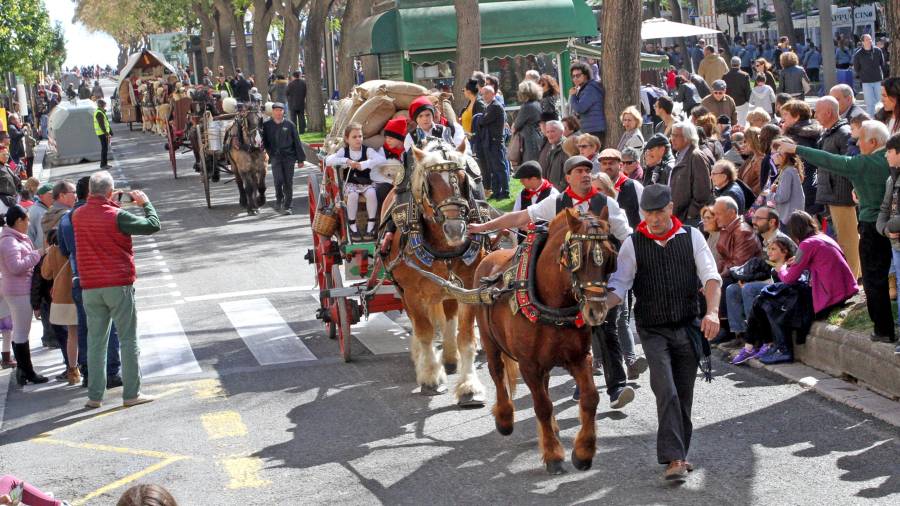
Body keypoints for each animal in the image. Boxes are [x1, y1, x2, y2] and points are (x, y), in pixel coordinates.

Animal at [380, 138, 492, 408]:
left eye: (463, 179)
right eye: (430, 184)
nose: (455, 229)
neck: (443, 249)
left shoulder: (468, 289)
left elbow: (466, 337)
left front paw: (469, 387)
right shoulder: (411, 293)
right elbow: (425, 332)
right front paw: (430, 376)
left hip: (448, 290)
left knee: (449, 316)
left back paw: (451, 357)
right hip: (405, 291)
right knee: (418, 324)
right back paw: (421, 359)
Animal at [416, 207, 616, 474]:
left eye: (610, 256)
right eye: (578, 256)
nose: (597, 312)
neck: (551, 303)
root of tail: (490, 255)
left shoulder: (579, 358)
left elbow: (590, 398)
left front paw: (583, 452)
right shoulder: (528, 364)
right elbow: (542, 405)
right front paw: (553, 455)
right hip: (490, 341)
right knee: (497, 373)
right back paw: (504, 418)